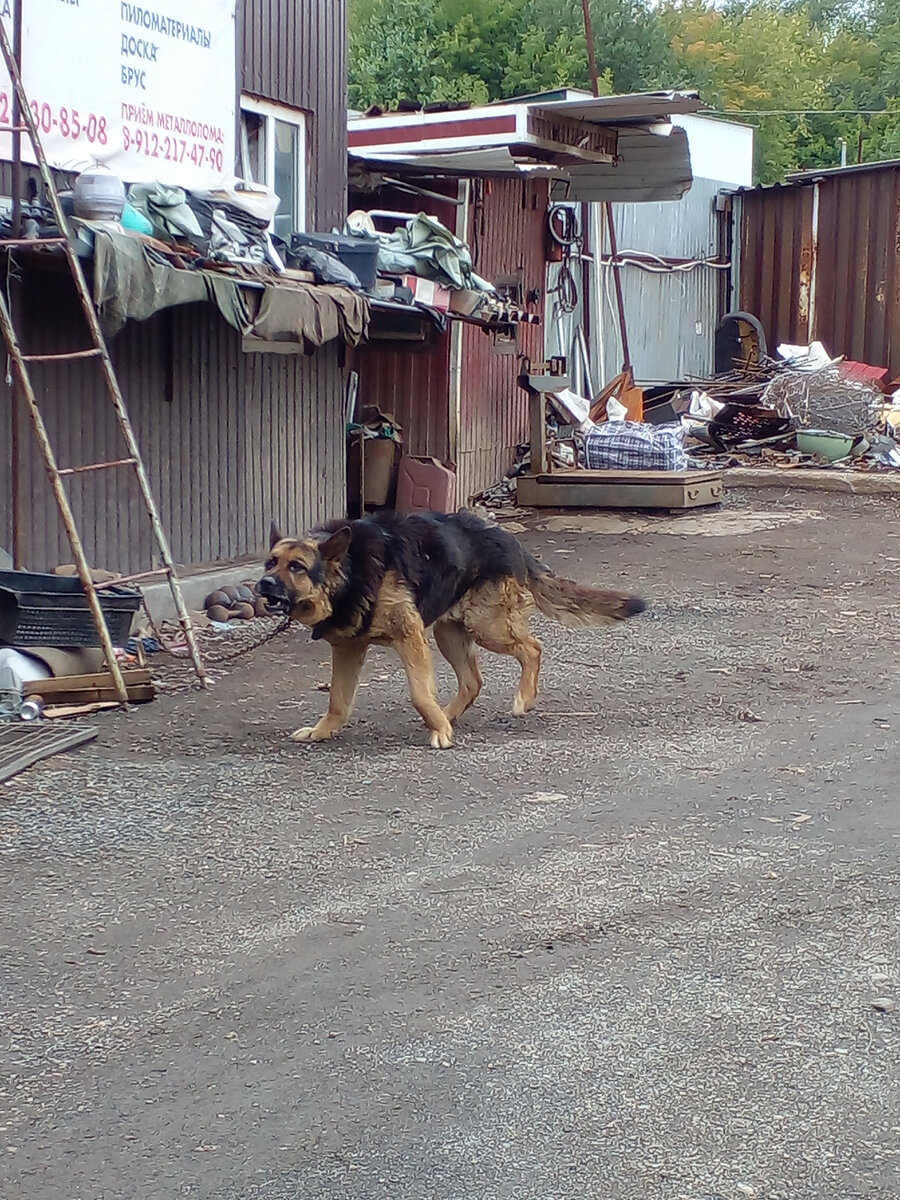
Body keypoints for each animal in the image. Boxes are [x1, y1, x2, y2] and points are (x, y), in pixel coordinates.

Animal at [256, 508, 643, 748]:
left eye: (297, 567)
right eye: (270, 563)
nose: (262, 585)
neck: (349, 571)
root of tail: (512, 542)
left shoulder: (409, 635)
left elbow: (419, 693)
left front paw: (439, 730)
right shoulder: (348, 649)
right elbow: (338, 700)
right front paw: (323, 731)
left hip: (487, 626)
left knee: (532, 648)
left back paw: (521, 698)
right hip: (450, 635)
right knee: (473, 681)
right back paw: (449, 715)